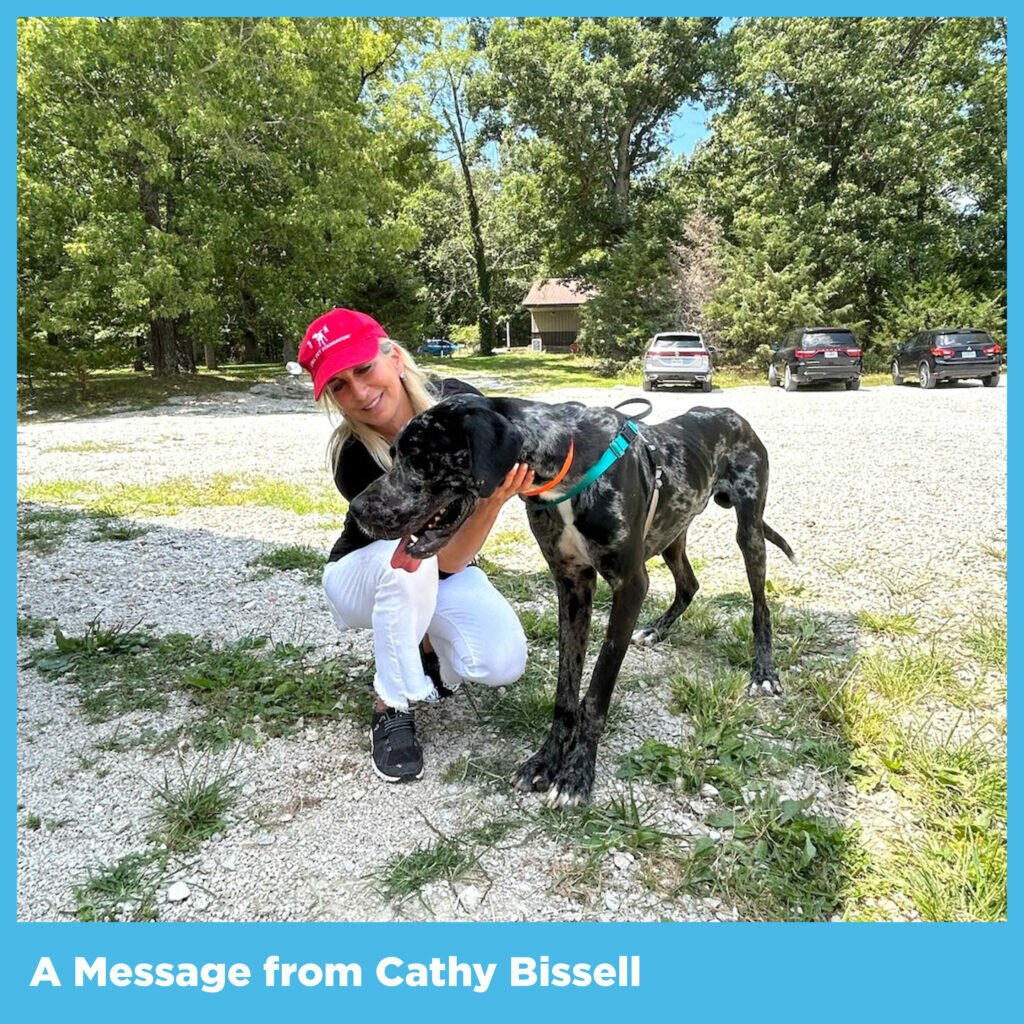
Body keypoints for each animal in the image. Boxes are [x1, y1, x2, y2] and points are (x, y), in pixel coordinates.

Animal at [348, 395, 794, 802]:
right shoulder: (572, 583)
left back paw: (764, 671)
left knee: (760, 605)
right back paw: (656, 630)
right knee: (689, 584)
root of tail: (730, 413)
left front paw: (578, 774)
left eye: (420, 457)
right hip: (673, 531)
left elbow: (596, 691)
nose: (356, 509)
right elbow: (566, 691)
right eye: (394, 454)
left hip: (749, 530)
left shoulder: (630, 585)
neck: (563, 461)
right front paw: (546, 760)